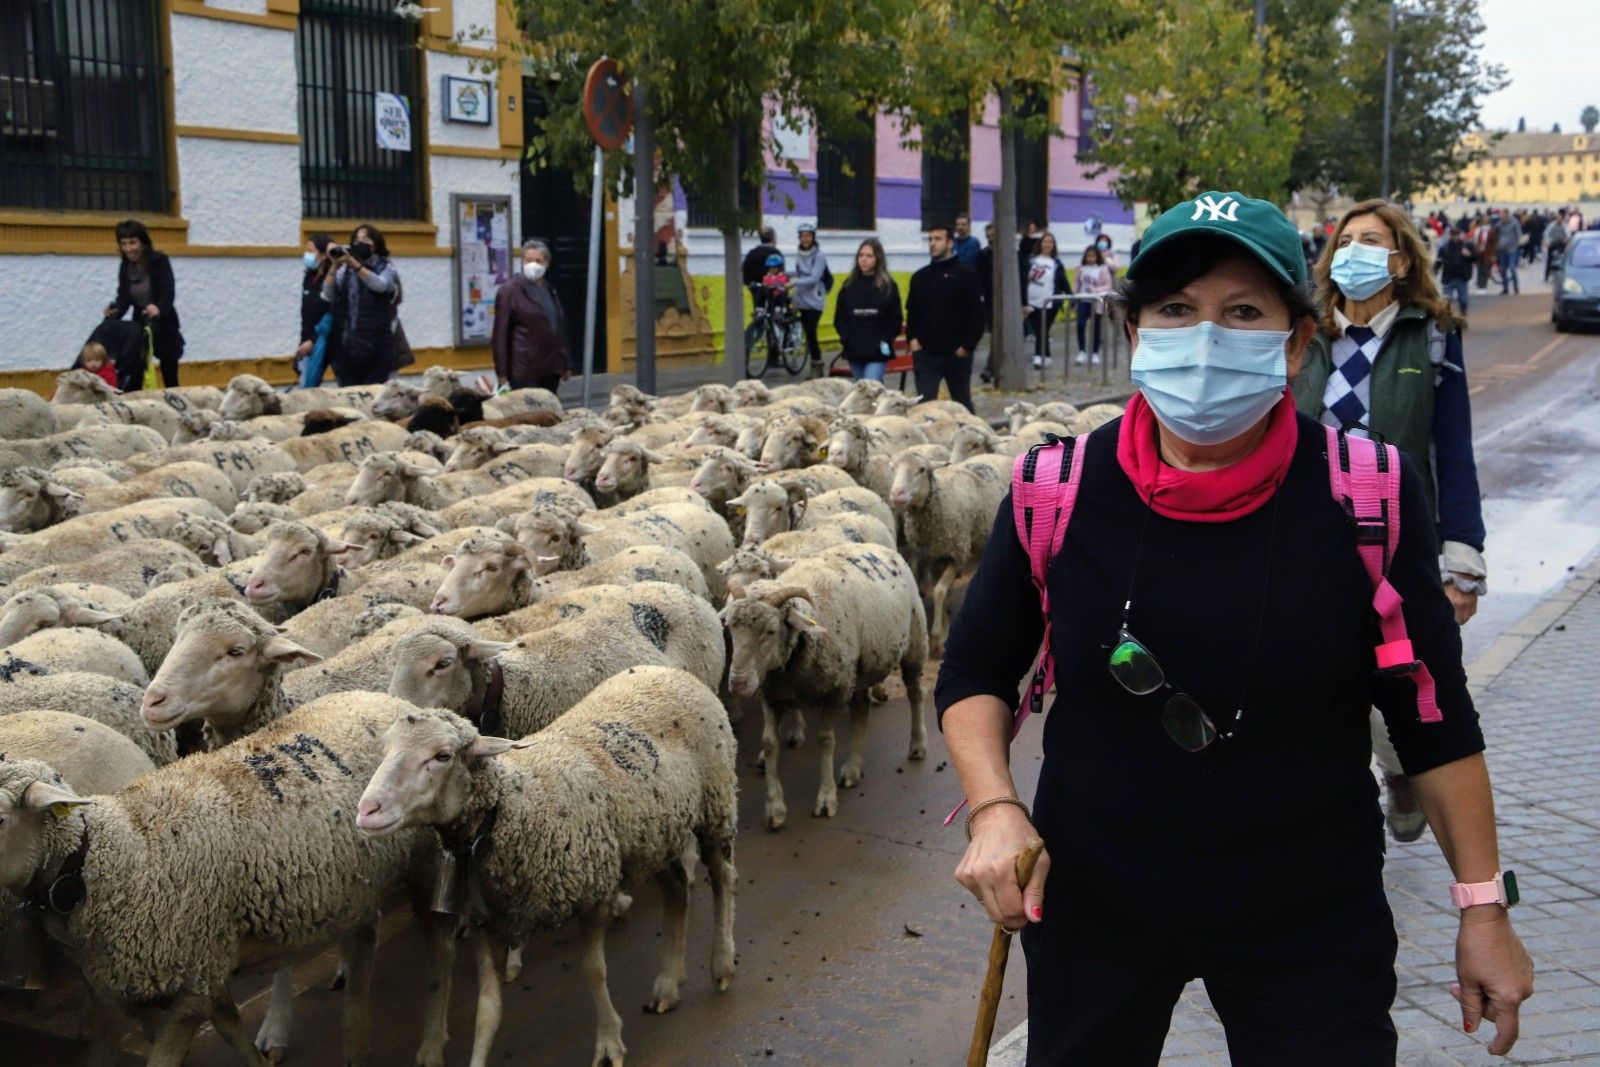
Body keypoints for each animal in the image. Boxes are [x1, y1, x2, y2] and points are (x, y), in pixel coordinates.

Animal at [356, 668, 736, 1067]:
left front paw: (609, 1042)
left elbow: (593, 971)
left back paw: (722, 964)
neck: (509, 808)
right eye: (385, 752)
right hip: (651, 834)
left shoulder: (594, 892)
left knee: (723, 877)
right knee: (677, 888)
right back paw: (668, 984)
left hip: (716, 799)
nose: (366, 811)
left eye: (442, 755)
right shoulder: (485, 922)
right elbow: (487, 1011)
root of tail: (668, 671)